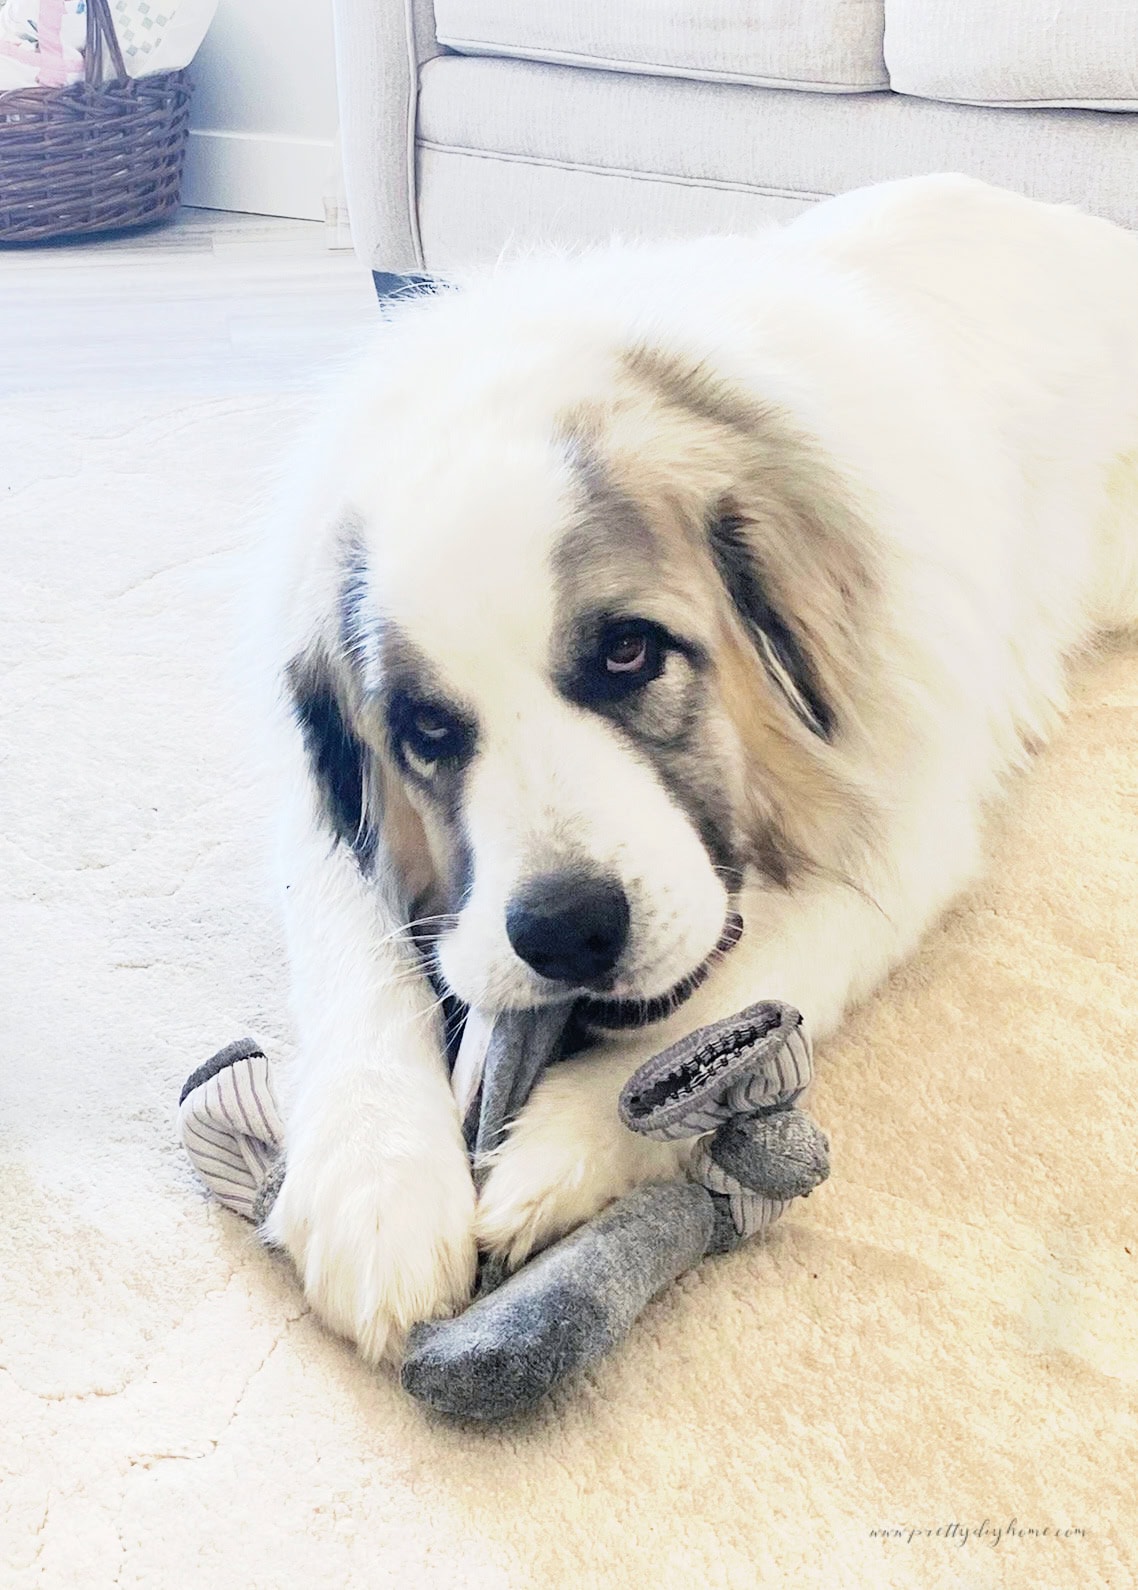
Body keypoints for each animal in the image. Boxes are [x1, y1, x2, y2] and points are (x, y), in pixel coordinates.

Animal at [262, 177, 1138, 1367]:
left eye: (629, 652)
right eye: (429, 730)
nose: (566, 931)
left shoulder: (903, 815)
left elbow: (739, 993)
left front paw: (563, 1145)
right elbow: (360, 950)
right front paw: (377, 1186)